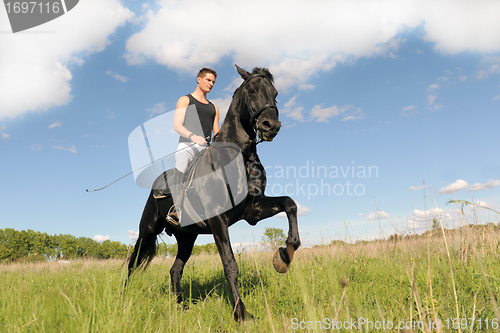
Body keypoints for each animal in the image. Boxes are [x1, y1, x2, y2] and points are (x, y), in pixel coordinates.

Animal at [128, 63, 300, 320]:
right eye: (251, 90)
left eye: (275, 94)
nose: (272, 126)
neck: (240, 157)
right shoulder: (219, 218)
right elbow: (230, 265)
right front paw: (241, 314)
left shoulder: (253, 211)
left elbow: (290, 203)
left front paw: (284, 256)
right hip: (147, 230)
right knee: (133, 262)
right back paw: (124, 298)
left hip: (187, 238)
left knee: (174, 270)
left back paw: (181, 306)